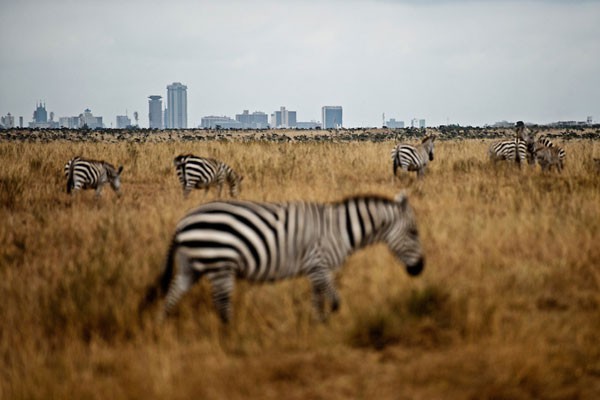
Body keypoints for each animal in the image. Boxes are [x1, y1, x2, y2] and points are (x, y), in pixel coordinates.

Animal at [138, 192, 424, 324]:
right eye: (414, 232)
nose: (420, 269)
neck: (341, 230)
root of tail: (182, 223)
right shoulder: (319, 265)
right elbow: (334, 302)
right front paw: (325, 323)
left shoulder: (315, 272)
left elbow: (319, 301)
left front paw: (317, 325)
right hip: (220, 264)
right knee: (221, 304)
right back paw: (231, 338)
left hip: (192, 266)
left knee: (172, 294)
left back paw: (160, 329)